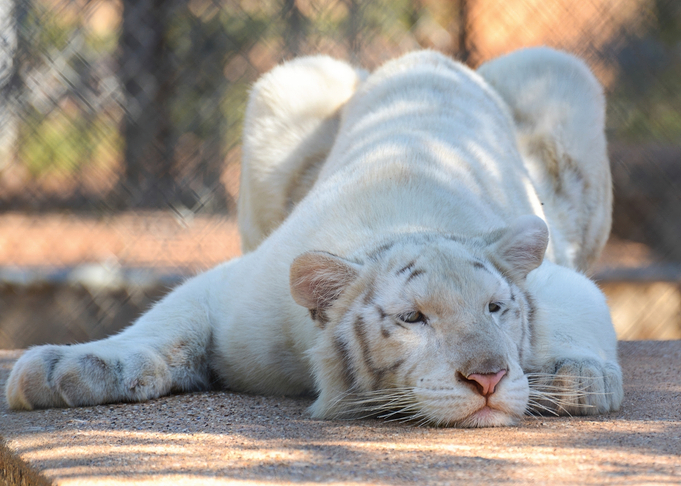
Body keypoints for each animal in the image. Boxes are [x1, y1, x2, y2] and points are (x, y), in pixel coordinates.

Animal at [5, 48, 623, 427]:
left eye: (497, 308)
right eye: (413, 319)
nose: (490, 377)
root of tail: (426, 55)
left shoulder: (559, 279)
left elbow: (580, 312)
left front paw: (579, 378)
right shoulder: (240, 289)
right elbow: (163, 323)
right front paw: (67, 369)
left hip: (559, 71)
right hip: (287, 85)